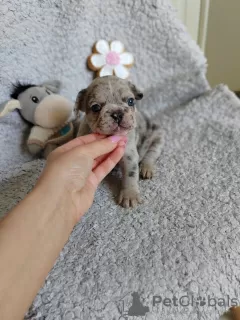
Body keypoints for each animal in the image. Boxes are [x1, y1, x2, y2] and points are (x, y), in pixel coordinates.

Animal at [76, 76, 163, 209]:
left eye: (131, 101)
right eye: (95, 107)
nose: (117, 113)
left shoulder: (129, 155)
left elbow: (130, 174)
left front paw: (130, 195)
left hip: (157, 137)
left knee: (151, 154)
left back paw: (146, 168)